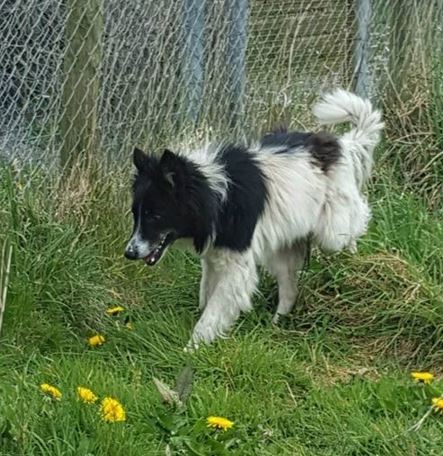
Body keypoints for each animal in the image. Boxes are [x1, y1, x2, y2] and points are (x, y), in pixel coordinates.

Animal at [125, 90, 386, 350]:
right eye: (135, 214)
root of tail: (343, 144)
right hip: (283, 247)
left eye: (155, 215)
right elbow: (205, 298)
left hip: (331, 231)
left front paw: (191, 350)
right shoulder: (214, 258)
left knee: (356, 222)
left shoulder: (237, 268)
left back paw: (352, 260)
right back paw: (275, 326)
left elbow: (210, 315)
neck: (215, 195)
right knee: (290, 291)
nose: (129, 253)